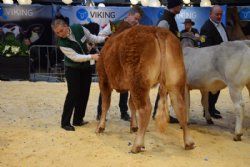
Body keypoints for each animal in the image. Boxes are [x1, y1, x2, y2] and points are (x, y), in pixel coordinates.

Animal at [94, 24, 194, 153]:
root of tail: (158, 30)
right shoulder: (129, 86)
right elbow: (131, 104)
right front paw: (134, 126)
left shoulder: (104, 79)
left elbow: (105, 104)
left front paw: (100, 127)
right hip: (175, 81)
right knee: (180, 106)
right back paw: (189, 142)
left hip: (138, 81)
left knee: (145, 109)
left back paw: (137, 145)